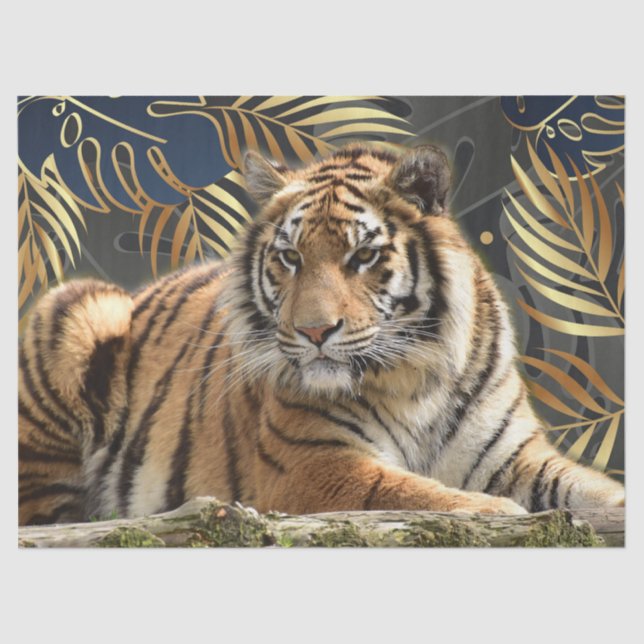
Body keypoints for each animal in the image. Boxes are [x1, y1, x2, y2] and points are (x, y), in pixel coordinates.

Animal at [18, 142, 625, 526]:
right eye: (290, 257)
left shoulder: (514, 458)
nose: (314, 331)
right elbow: (407, 491)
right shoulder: (314, 465)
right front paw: (500, 514)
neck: (415, 379)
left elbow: (590, 486)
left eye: (363, 256)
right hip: (77, 308)